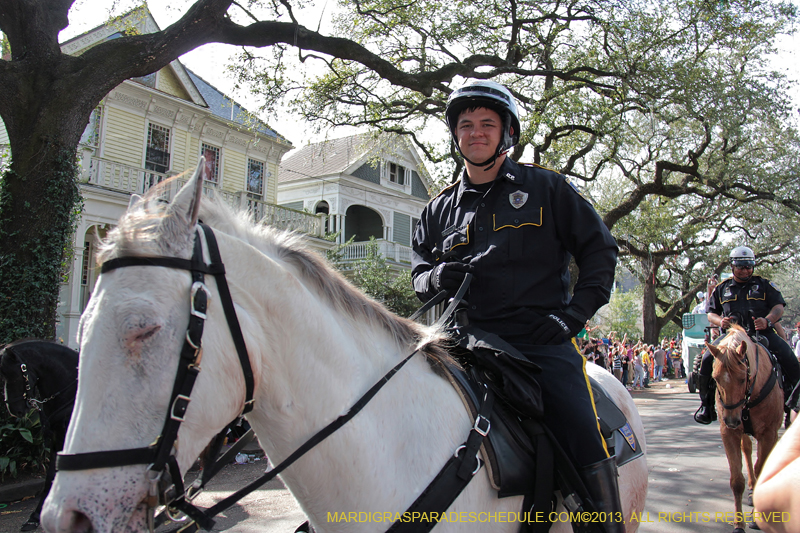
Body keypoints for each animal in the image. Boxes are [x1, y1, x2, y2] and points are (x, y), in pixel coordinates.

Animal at [708, 324, 784, 532]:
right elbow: (736, 480)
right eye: (715, 378)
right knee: (748, 450)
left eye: (742, 378)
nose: (731, 420)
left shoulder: (768, 433)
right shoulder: (729, 433)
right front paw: (738, 523)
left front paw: (757, 519)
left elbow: (761, 467)